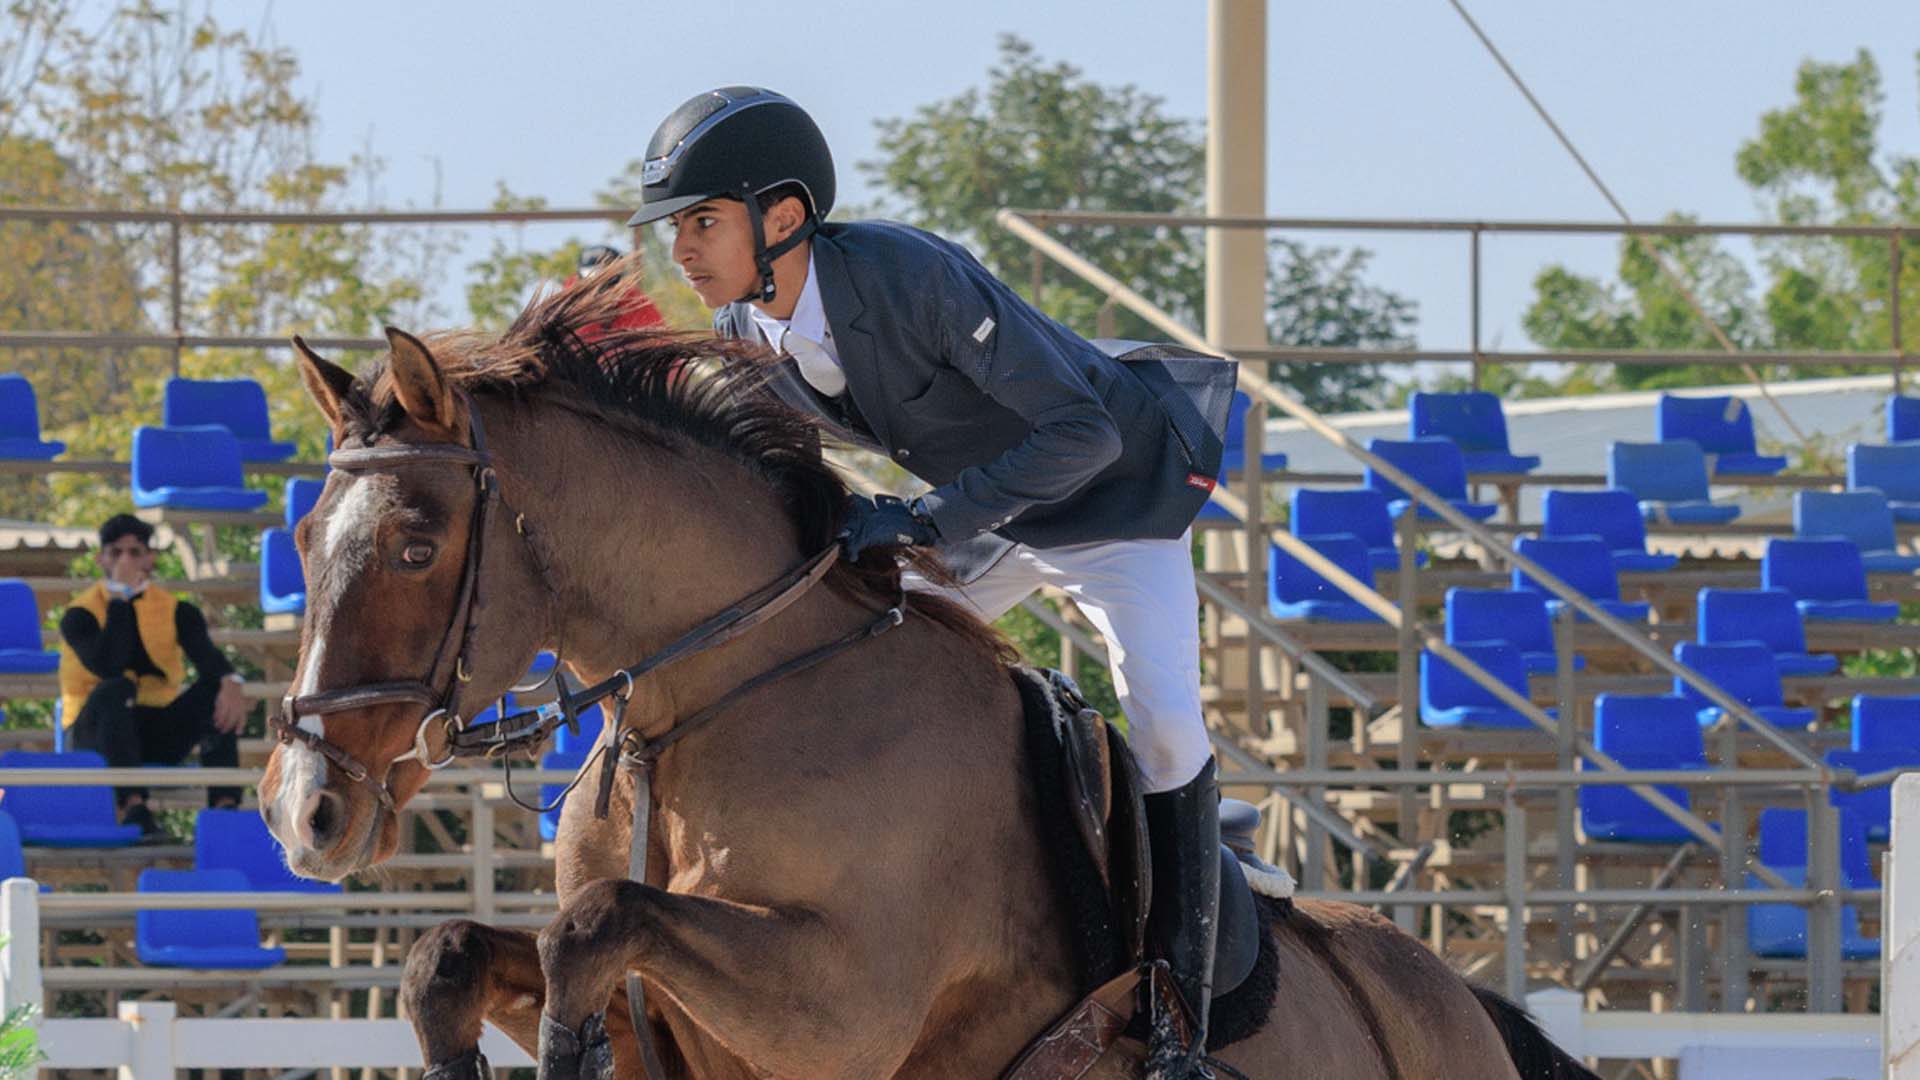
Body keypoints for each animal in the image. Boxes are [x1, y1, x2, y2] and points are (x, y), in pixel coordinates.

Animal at [263, 276, 1597, 1076]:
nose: (302, 812)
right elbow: (453, 953)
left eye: (416, 545)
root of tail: (1455, 997)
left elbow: (598, 927)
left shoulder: (840, 1005)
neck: (705, 711)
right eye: (305, 537)